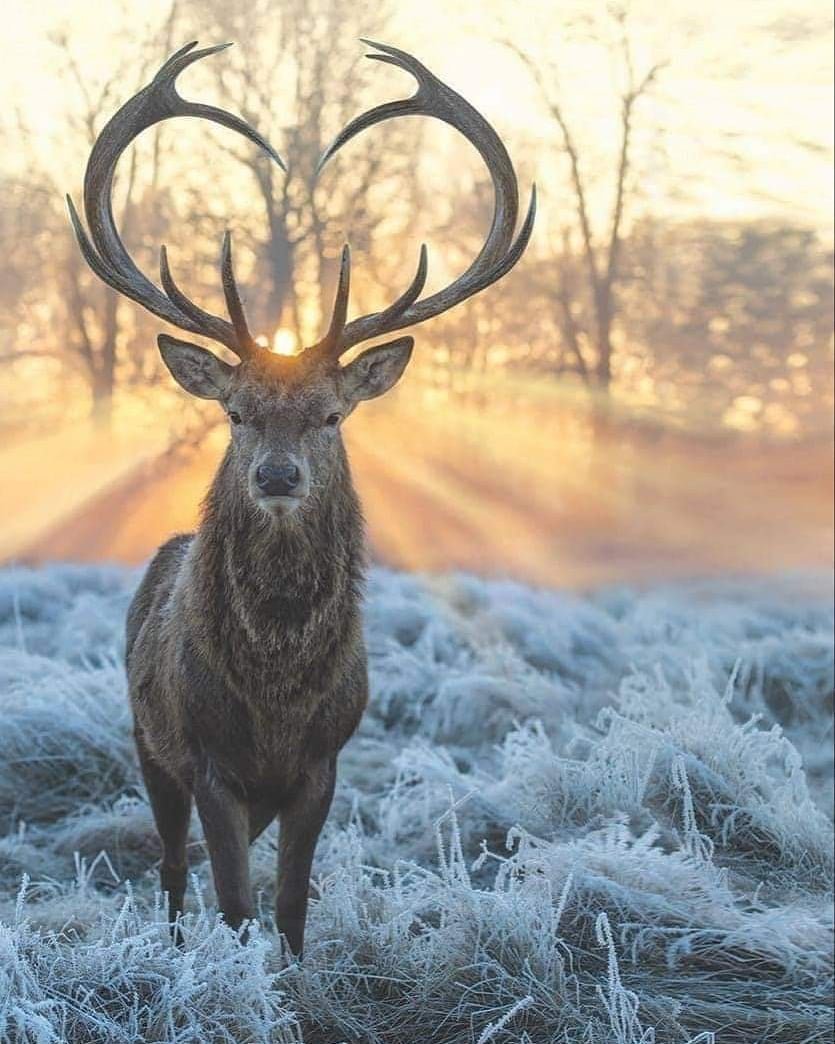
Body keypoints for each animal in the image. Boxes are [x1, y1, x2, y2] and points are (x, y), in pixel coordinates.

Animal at [66, 38, 534, 956]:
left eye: (329, 414)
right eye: (236, 411)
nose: (276, 476)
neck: (276, 696)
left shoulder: (325, 761)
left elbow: (287, 906)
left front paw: (291, 971)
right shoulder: (207, 758)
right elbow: (234, 901)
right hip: (144, 736)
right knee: (171, 867)